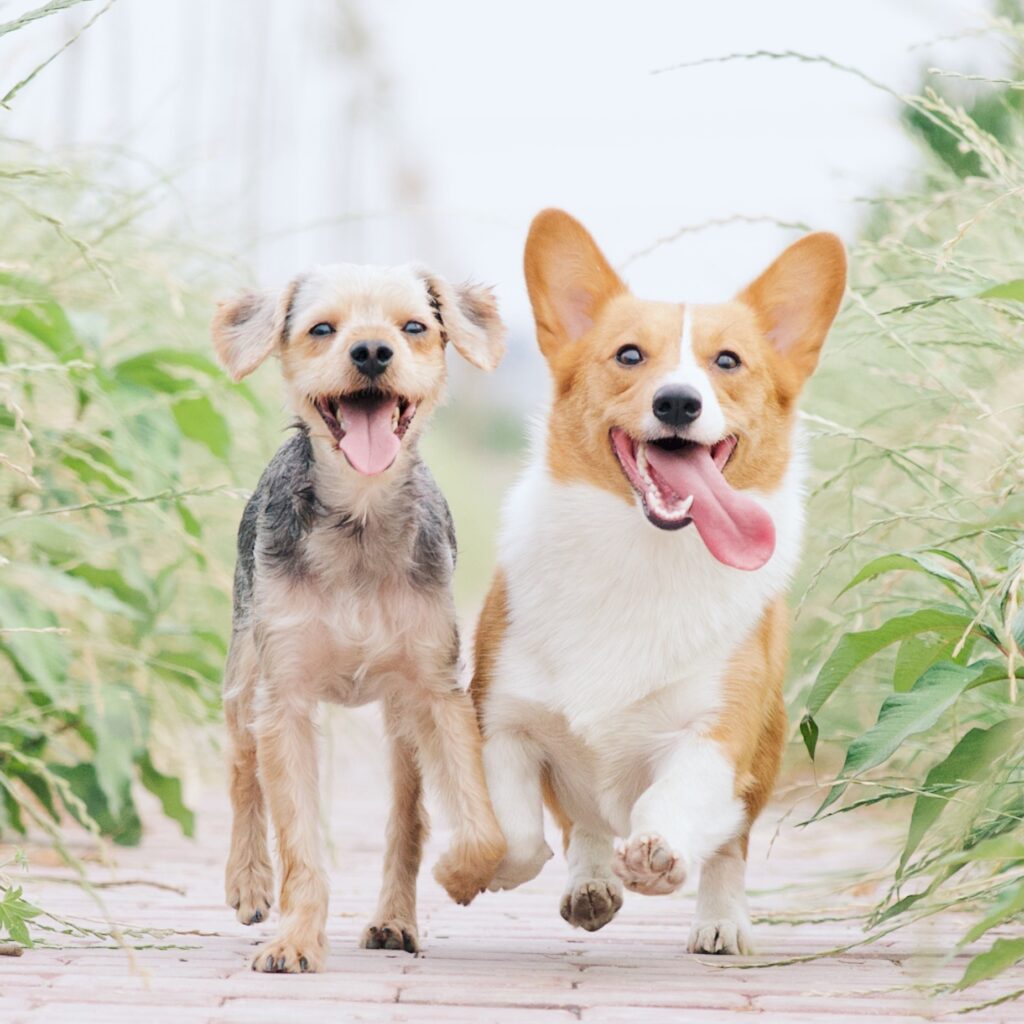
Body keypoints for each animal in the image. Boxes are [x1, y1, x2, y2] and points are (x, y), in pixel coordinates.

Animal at [211, 260, 507, 970]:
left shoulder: (436, 691)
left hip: (400, 722)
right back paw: (248, 880)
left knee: (408, 817)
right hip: (243, 675)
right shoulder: (284, 699)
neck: (360, 519)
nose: (372, 351)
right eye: (322, 329)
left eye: (415, 327)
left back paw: (395, 920)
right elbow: (298, 840)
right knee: (241, 770)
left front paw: (464, 874)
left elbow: (480, 826)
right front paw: (294, 937)